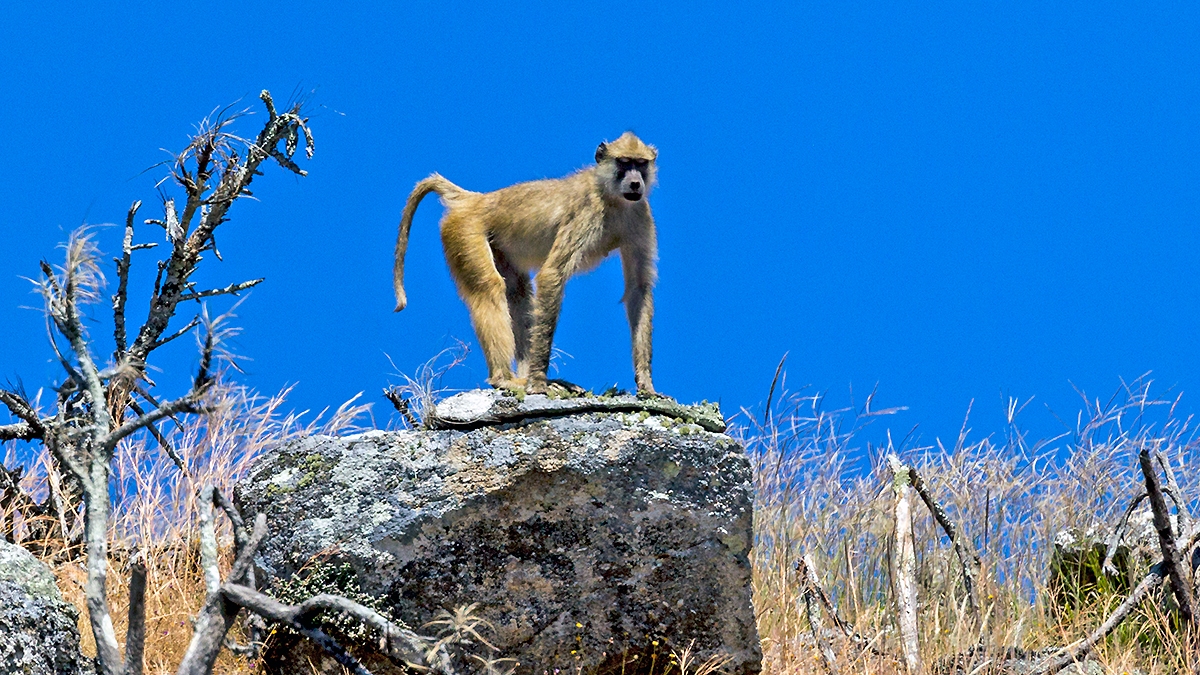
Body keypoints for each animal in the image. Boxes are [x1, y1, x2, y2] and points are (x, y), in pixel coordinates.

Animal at [393, 132, 661, 397]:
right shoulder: (587, 212)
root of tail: (474, 199)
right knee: (489, 288)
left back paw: (523, 375)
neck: (612, 196)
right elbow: (552, 275)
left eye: (640, 164)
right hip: (464, 230)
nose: (635, 183)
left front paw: (646, 385)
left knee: (518, 295)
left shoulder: (640, 214)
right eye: (624, 163)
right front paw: (538, 382)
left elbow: (638, 289)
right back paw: (506, 379)